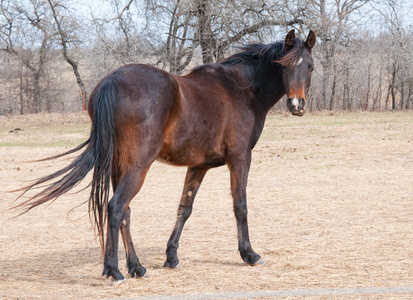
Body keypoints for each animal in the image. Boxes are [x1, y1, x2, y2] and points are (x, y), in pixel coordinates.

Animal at [14, 28, 314, 284]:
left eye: (309, 67)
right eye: (285, 66)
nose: (297, 105)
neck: (242, 89)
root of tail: (112, 81)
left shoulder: (198, 166)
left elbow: (184, 208)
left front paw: (171, 256)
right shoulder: (240, 159)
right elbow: (240, 205)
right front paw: (249, 254)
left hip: (119, 166)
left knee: (125, 211)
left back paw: (136, 267)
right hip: (138, 165)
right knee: (116, 207)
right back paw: (114, 271)